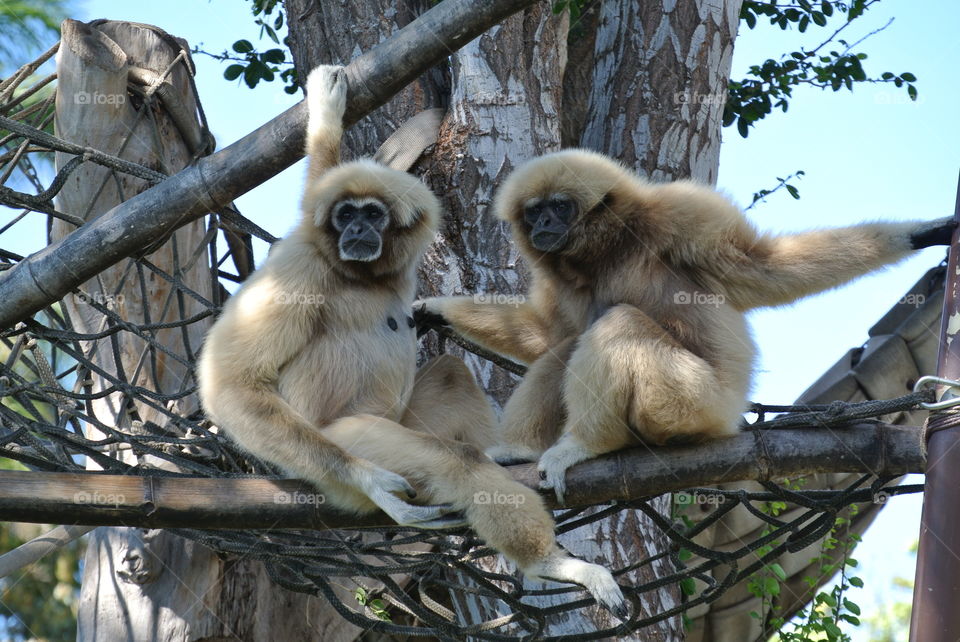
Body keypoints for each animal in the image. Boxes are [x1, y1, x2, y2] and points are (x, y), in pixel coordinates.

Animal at [197, 70, 627, 616]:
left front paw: (326, 117)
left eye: (373, 215)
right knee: (452, 460)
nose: (358, 228)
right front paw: (371, 482)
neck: (364, 277)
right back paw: (551, 563)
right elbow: (232, 384)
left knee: (452, 374)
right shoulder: (300, 263)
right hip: (338, 438)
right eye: (346, 216)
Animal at [416, 148, 955, 501]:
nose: (544, 225)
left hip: (694, 401)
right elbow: (550, 332)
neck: (609, 247)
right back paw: (518, 451)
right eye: (534, 212)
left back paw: (586, 445)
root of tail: (729, 414)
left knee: (619, 323)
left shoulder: (684, 212)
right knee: (567, 344)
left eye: (560, 206)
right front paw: (435, 309)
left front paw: (921, 234)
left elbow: (763, 266)